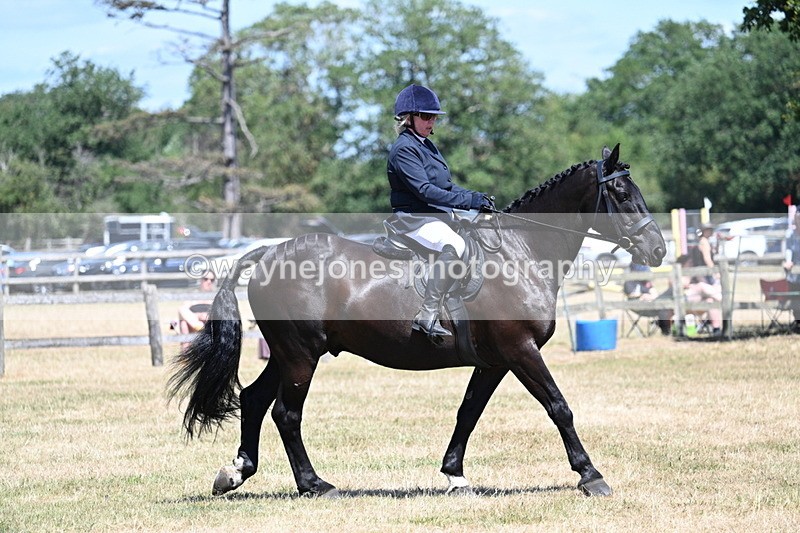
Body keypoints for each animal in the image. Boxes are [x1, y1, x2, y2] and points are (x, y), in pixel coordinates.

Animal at [168, 144, 666, 499]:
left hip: (290, 354)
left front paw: (454, 476)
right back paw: (315, 485)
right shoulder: (520, 351)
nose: (658, 250)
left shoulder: (495, 361)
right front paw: (591, 475)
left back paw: (235, 474)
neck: (520, 253)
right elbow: (559, 406)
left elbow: (468, 412)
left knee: (254, 400)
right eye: (622, 194)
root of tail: (269, 253)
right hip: (301, 356)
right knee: (286, 414)